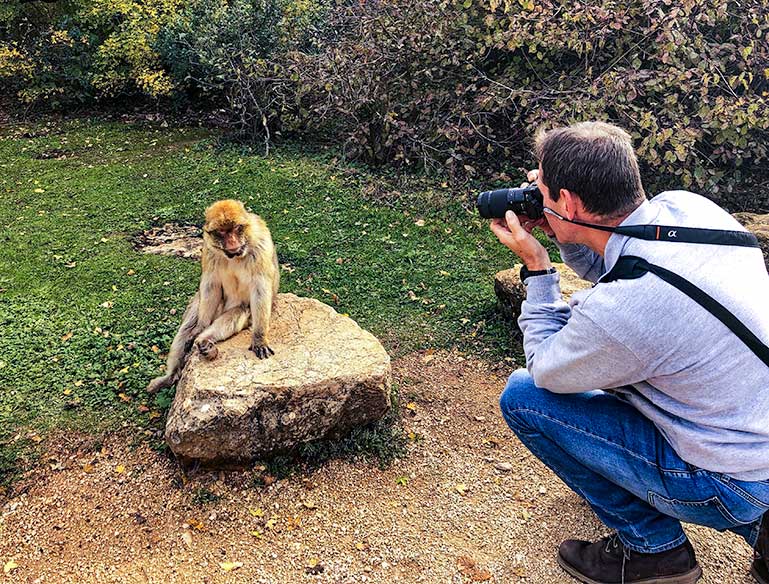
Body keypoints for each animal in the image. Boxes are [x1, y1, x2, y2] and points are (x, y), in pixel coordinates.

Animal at [147, 198, 280, 394]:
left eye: (236, 229)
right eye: (222, 233)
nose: (231, 241)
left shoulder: (260, 246)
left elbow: (260, 289)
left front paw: (259, 339)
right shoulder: (208, 248)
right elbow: (211, 285)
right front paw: (199, 328)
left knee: (238, 312)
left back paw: (205, 342)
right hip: (206, 306)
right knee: (187, 326)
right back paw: (173, 373)